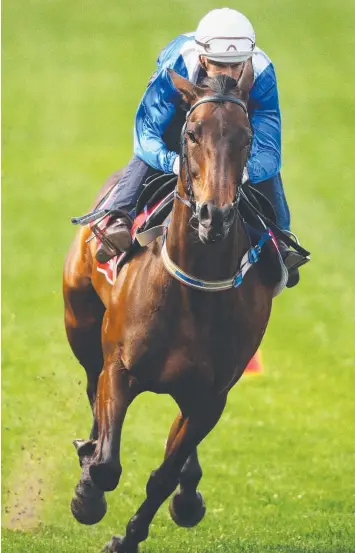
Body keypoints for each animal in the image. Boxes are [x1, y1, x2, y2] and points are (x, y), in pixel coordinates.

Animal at [63, 62, 276, 548]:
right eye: (193, 133)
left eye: (247, 137)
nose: (214, 215)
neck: (193, 294)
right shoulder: (119, 368)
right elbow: (107, 465)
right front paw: (87, 496)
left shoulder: (212, 397)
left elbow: (163, 475)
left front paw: (128, 538)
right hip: (79, 323)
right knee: (90, 388)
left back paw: (188, 493)